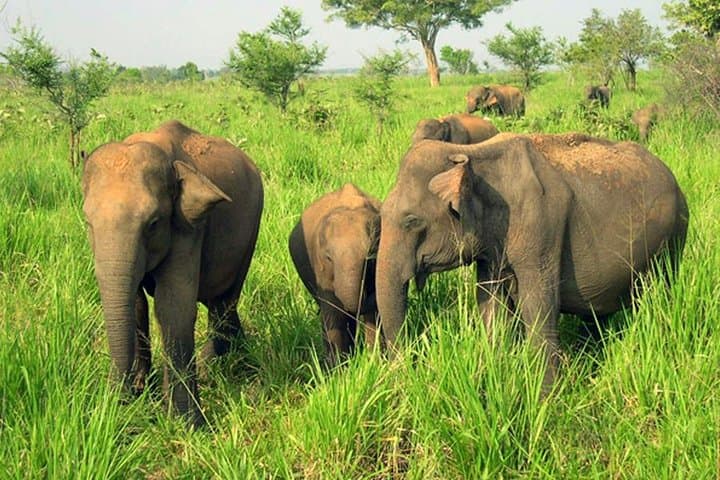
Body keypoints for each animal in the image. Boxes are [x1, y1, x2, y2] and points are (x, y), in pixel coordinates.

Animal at [82, 119, 264, 427]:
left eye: (153, 223)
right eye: (88, 223)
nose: (117, 404)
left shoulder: (187, 227)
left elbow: (173, 308)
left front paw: (185, 424)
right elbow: (136, 305)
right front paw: (140, 393)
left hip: (252, 228)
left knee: (225, 298)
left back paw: (213, 364)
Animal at [289, 183, 381, 367]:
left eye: (370, 257)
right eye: (329, 258)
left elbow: (374, 314)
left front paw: (374, 364)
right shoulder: (321, 270)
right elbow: (332, 311)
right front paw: (338, 370)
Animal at [376, 133, 688, 393]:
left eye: (411, 221)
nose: (406, 373)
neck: (472, 153)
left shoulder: (541, 228)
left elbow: (537, 305)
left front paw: (545, 397)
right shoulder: (493, 244)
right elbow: (492, 305)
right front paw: (497, 374)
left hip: (672, 238)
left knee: (659, 295)